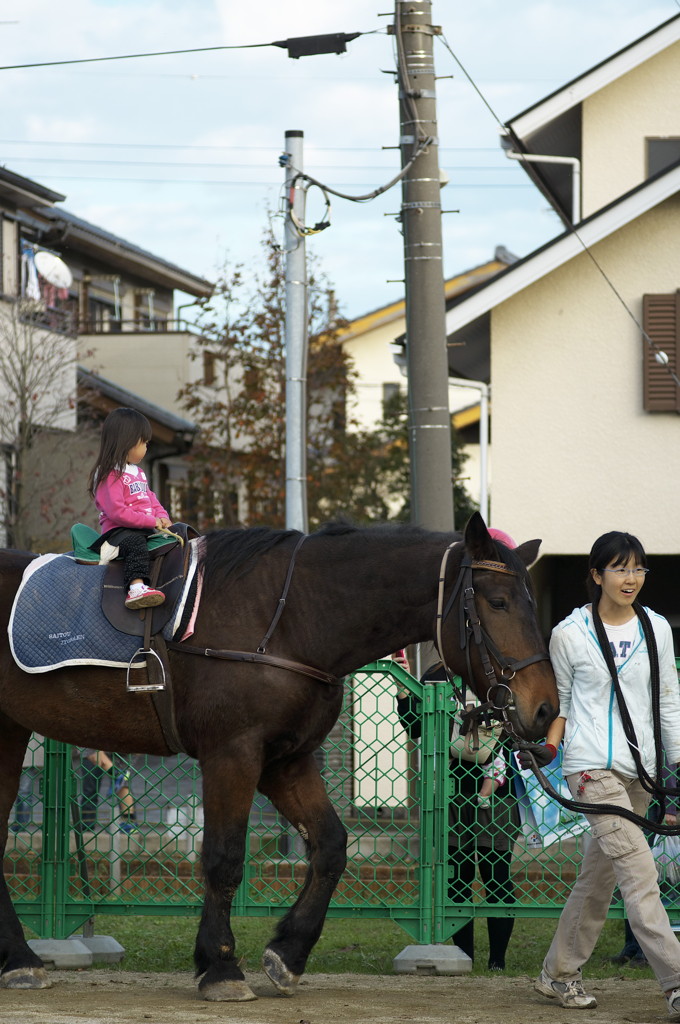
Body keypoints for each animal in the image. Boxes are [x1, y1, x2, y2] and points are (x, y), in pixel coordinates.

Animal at [0, 511, 558, 1000]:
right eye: (499, 602)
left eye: (533, 603)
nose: (546, 708)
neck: (289, 617)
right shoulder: (233, 754)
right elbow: (224, 858)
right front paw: (221, 966)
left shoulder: (286, 760)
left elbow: (331, 846)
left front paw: (288, 953)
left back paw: (21, 960)